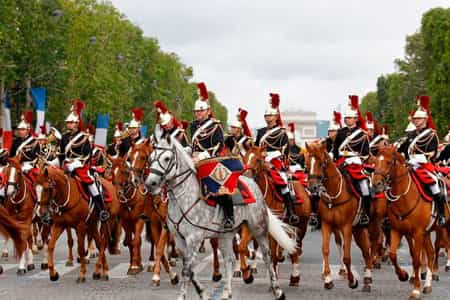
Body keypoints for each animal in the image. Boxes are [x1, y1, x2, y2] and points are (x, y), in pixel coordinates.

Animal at [146, 136, 298, 300]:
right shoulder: (179, 239)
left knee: (267, 256)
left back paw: (277, 291)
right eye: (151, 157)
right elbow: (190, 269)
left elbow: (186, 270)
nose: (150, 183)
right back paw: (226, 292)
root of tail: (252, 183)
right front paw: (203, 293)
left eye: (167, 158)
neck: (184, 197)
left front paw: (182, 296)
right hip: (226, 234)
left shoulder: (194, 238)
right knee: (229, 259)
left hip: (258, 228)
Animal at [241, 147, 312, 286]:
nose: (246, 176)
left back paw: (295, 275)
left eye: (258, 159)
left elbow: (273, 254)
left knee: (296, 247)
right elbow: (242, 246)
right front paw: (247, 272)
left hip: (302, 225)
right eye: (245, 158)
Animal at [304, 142, 374, 292]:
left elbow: (347, 257)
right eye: (307, 163)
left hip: (366, 227)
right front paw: (328, 280)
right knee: (365, 250)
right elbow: (325, 250)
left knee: (368, 250)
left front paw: (352, 280)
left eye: (321, 163)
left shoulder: (346, 227)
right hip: (357, 229)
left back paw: (367, 277)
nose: (312, 188)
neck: (333, 194)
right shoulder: (327, 225)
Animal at [370, 146, 448, 298]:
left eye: (388, 162)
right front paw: (403, 275)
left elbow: (416, 259)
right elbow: (393, 255)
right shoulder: (397, 230)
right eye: (375, 161)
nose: (376, 184)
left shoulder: (417, 233)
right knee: (431, 253)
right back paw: (428, 285)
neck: (405, 196)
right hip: (427, 232)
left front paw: (416, 289)